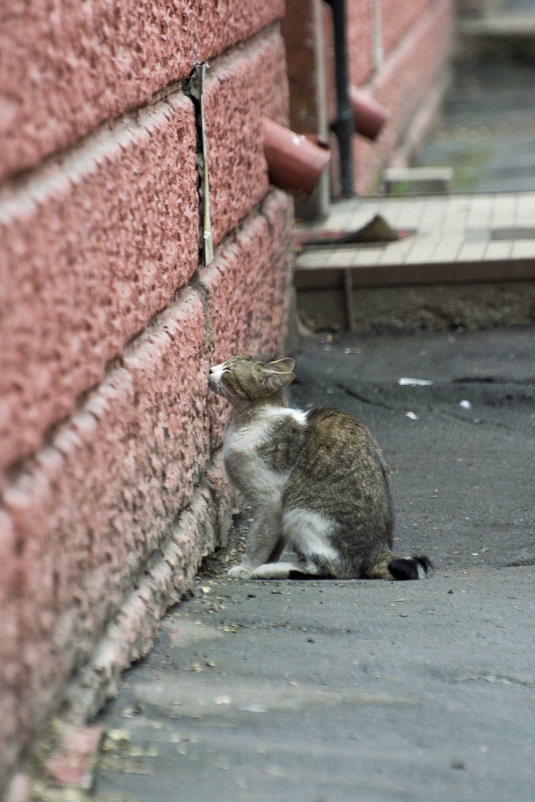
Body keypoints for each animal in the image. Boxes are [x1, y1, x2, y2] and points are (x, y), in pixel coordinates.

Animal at [207, 354, 434, 580]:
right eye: (224, 363)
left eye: (228, 370)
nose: (210, 369)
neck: (246, 421)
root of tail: (379, 551)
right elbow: (274, 545)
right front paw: (264, 561)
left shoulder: (269, 503)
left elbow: (258, 541)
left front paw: (247, 568)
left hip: (300, 512)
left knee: (327, 568)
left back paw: (268, 570)